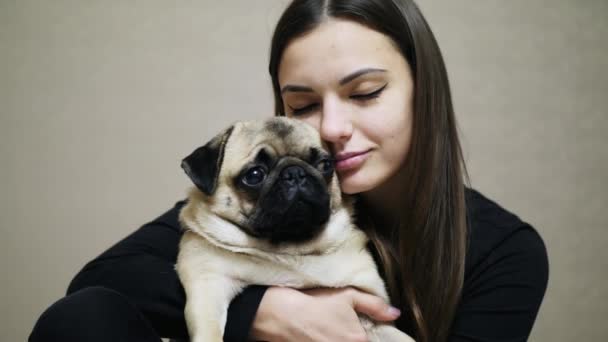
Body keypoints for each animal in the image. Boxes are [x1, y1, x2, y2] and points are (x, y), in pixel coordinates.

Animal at [176, 116, 414, 340]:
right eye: (254, 175)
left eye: (325, 164)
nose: (295, 173)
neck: (293, 249)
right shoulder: (208, 284)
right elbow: (209, 331)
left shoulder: (375, 319)